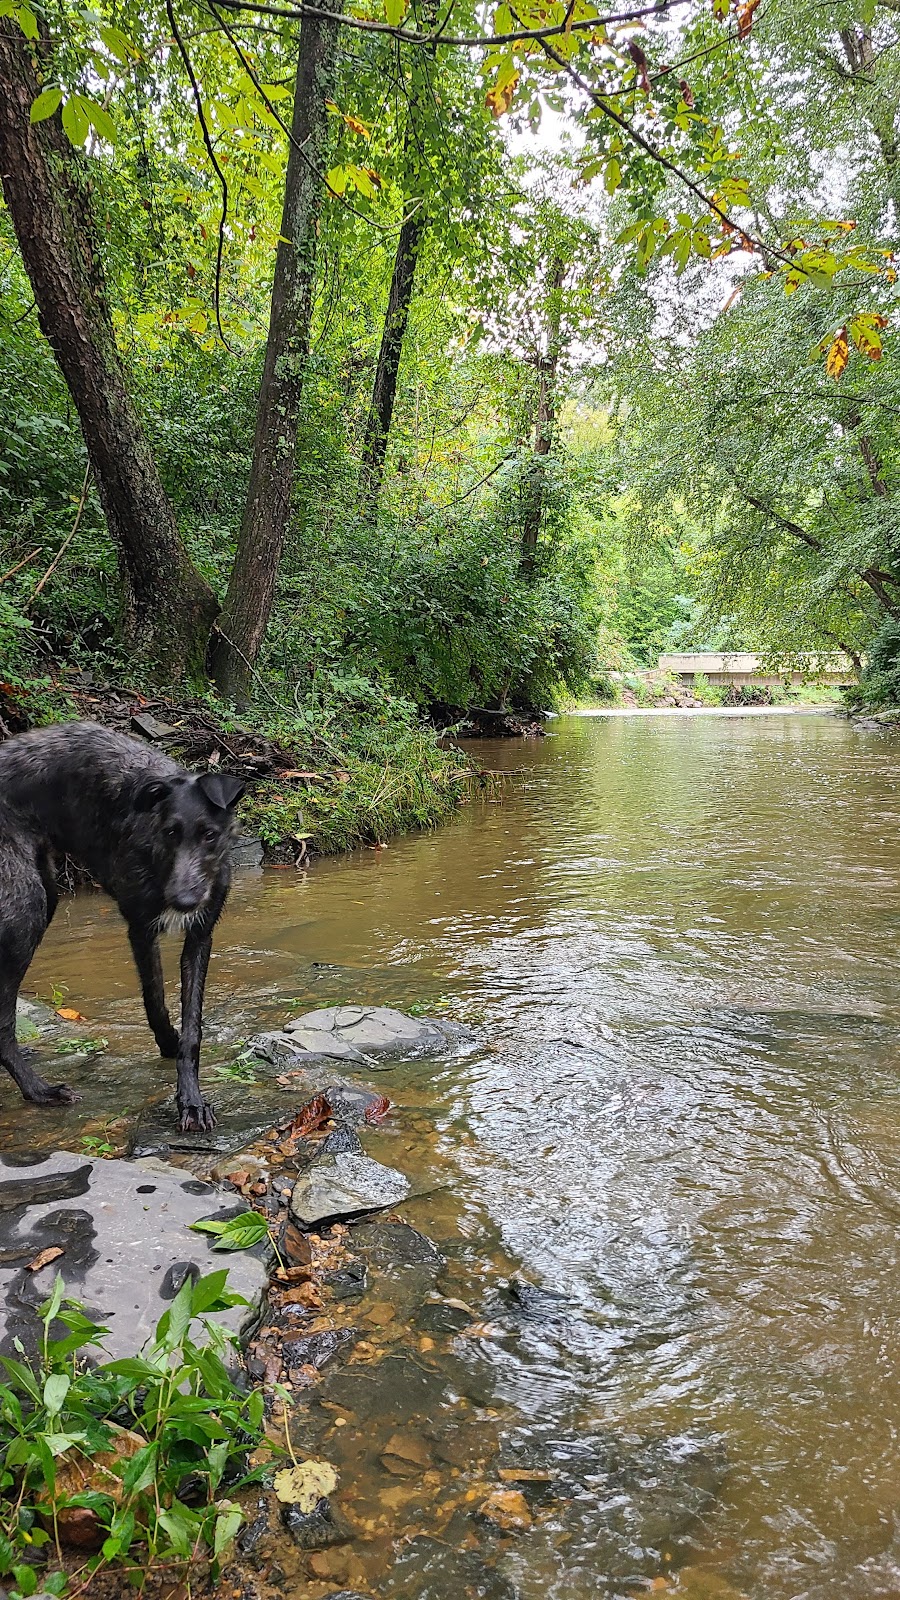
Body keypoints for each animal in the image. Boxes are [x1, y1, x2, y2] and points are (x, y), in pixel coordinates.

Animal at [0, 723, 243, 1126]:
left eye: (209, 834)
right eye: (170, 832)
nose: (182, 901)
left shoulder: (200, 935)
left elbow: (192, 1026)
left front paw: (191, 1098)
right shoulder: (141, 929)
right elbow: (154, 999)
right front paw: (170, 1050)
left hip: (44, 896)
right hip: (25, 912)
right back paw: (40, 1091)